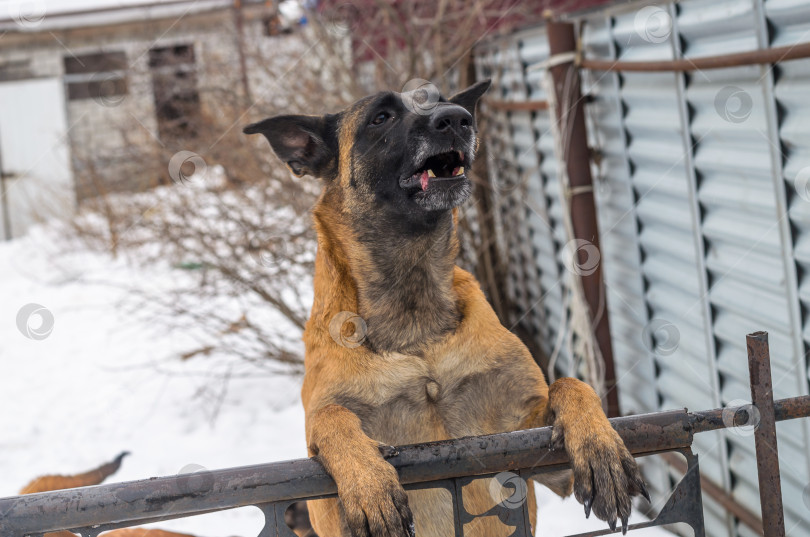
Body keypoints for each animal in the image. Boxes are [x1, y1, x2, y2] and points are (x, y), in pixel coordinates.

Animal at [243, 79, 648, 536]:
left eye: (439, 100)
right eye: (381, 117)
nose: (457, 118)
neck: (414, 313)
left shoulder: (531, 451)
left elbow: (570, 384)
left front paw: (600, 447)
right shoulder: (326, 507)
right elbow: (333, 419)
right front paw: (368, 484)